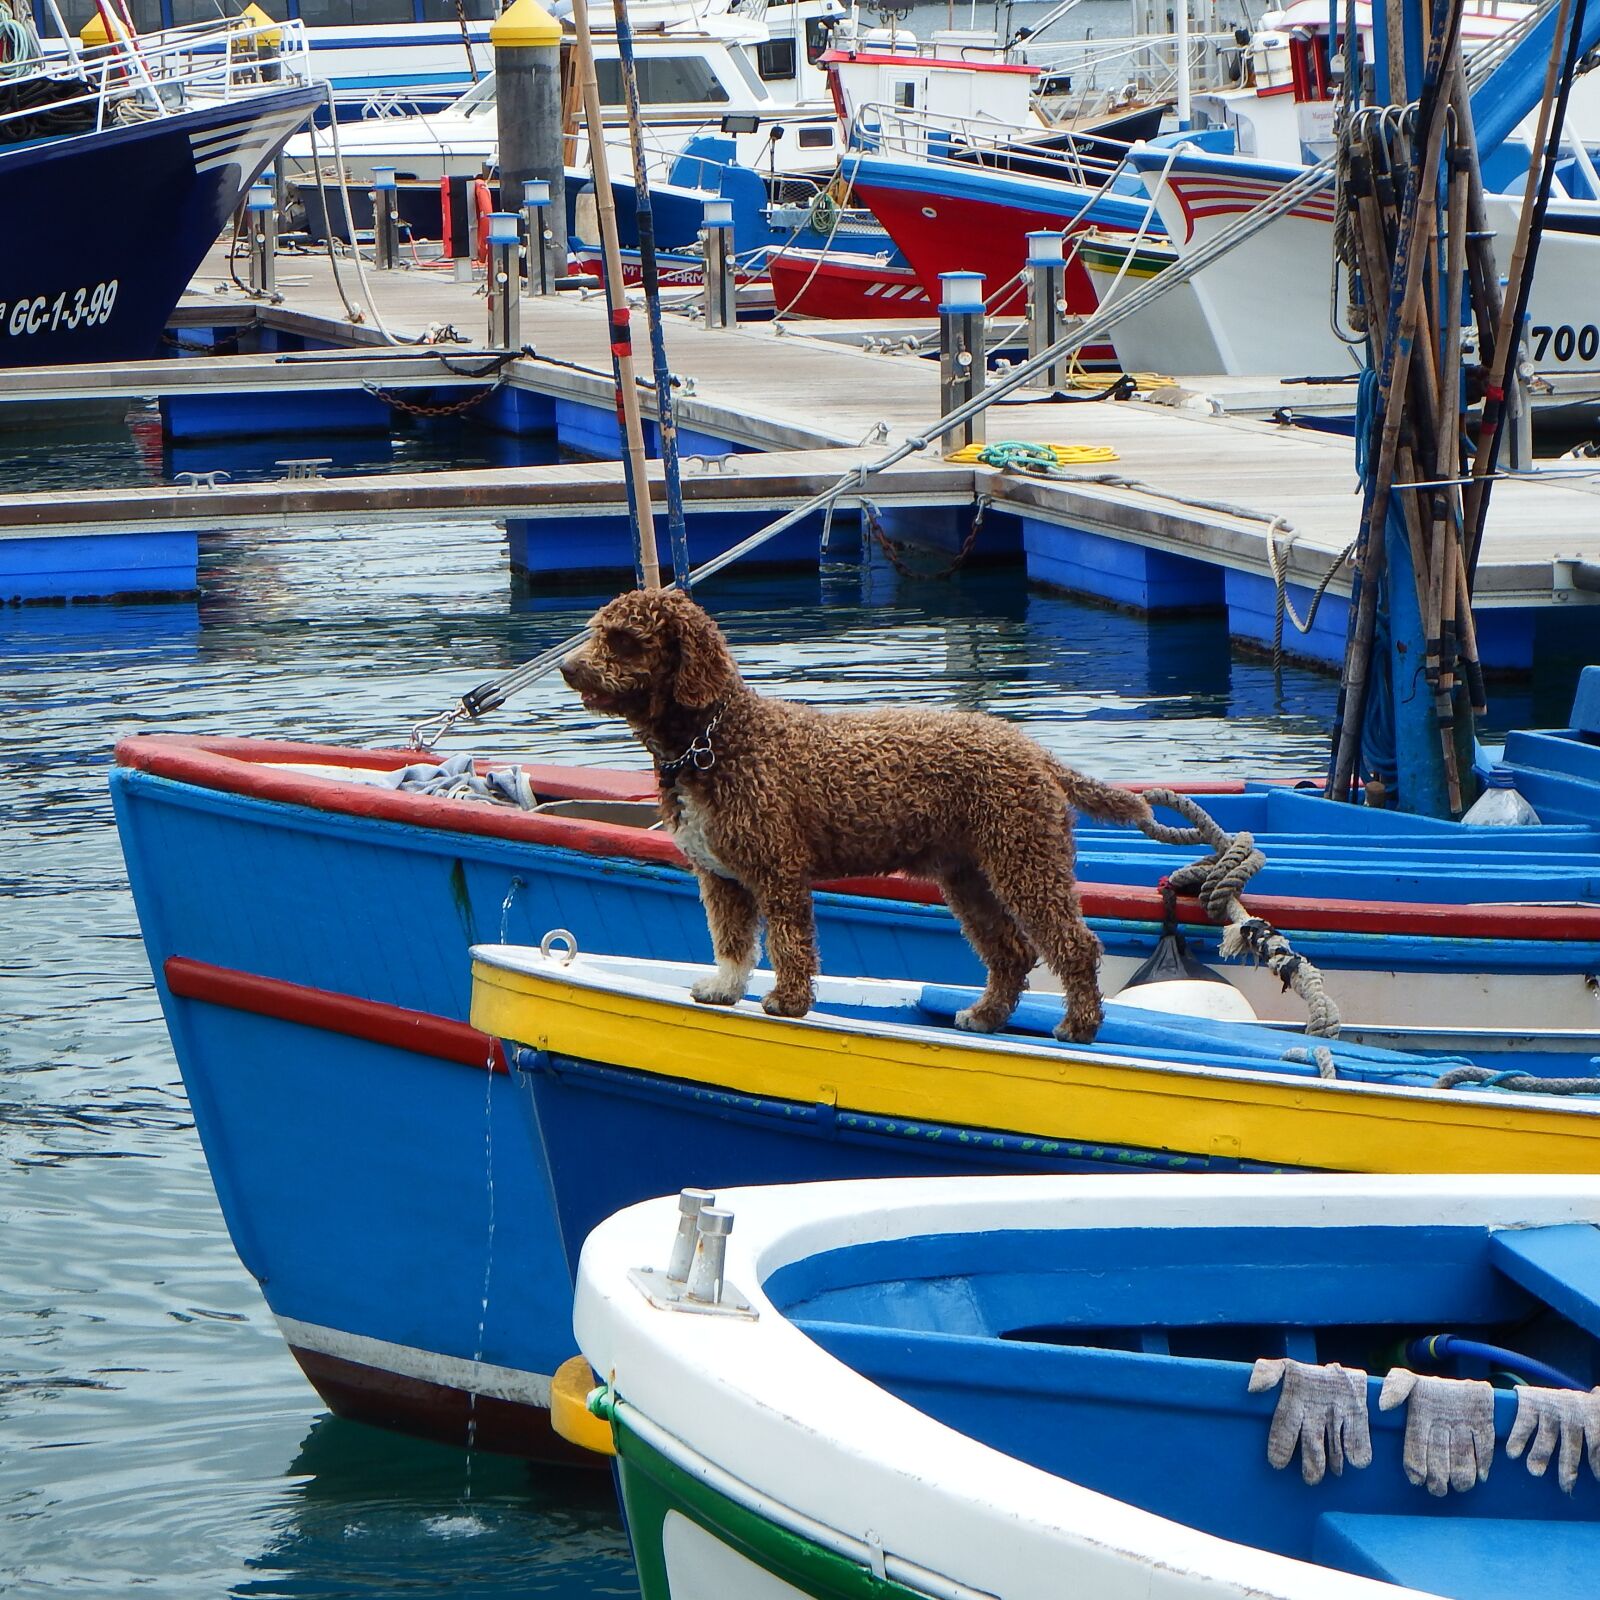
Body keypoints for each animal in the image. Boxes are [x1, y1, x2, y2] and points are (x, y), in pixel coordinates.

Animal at [563, 582, 1152, 1043]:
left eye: (626, 640)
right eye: (597, 630)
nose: (568, 667)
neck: (714, 740)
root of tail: (1034, 752)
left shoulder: (777, 869)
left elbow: (788, 942)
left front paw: (787, 1001)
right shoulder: (719, 876)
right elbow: (731, 941)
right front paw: (724, 988)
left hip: (1024, 860)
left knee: (1074, 945)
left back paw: (1078, 1025)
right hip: (969, 876)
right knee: (1009, 952)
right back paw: (985, 1015)